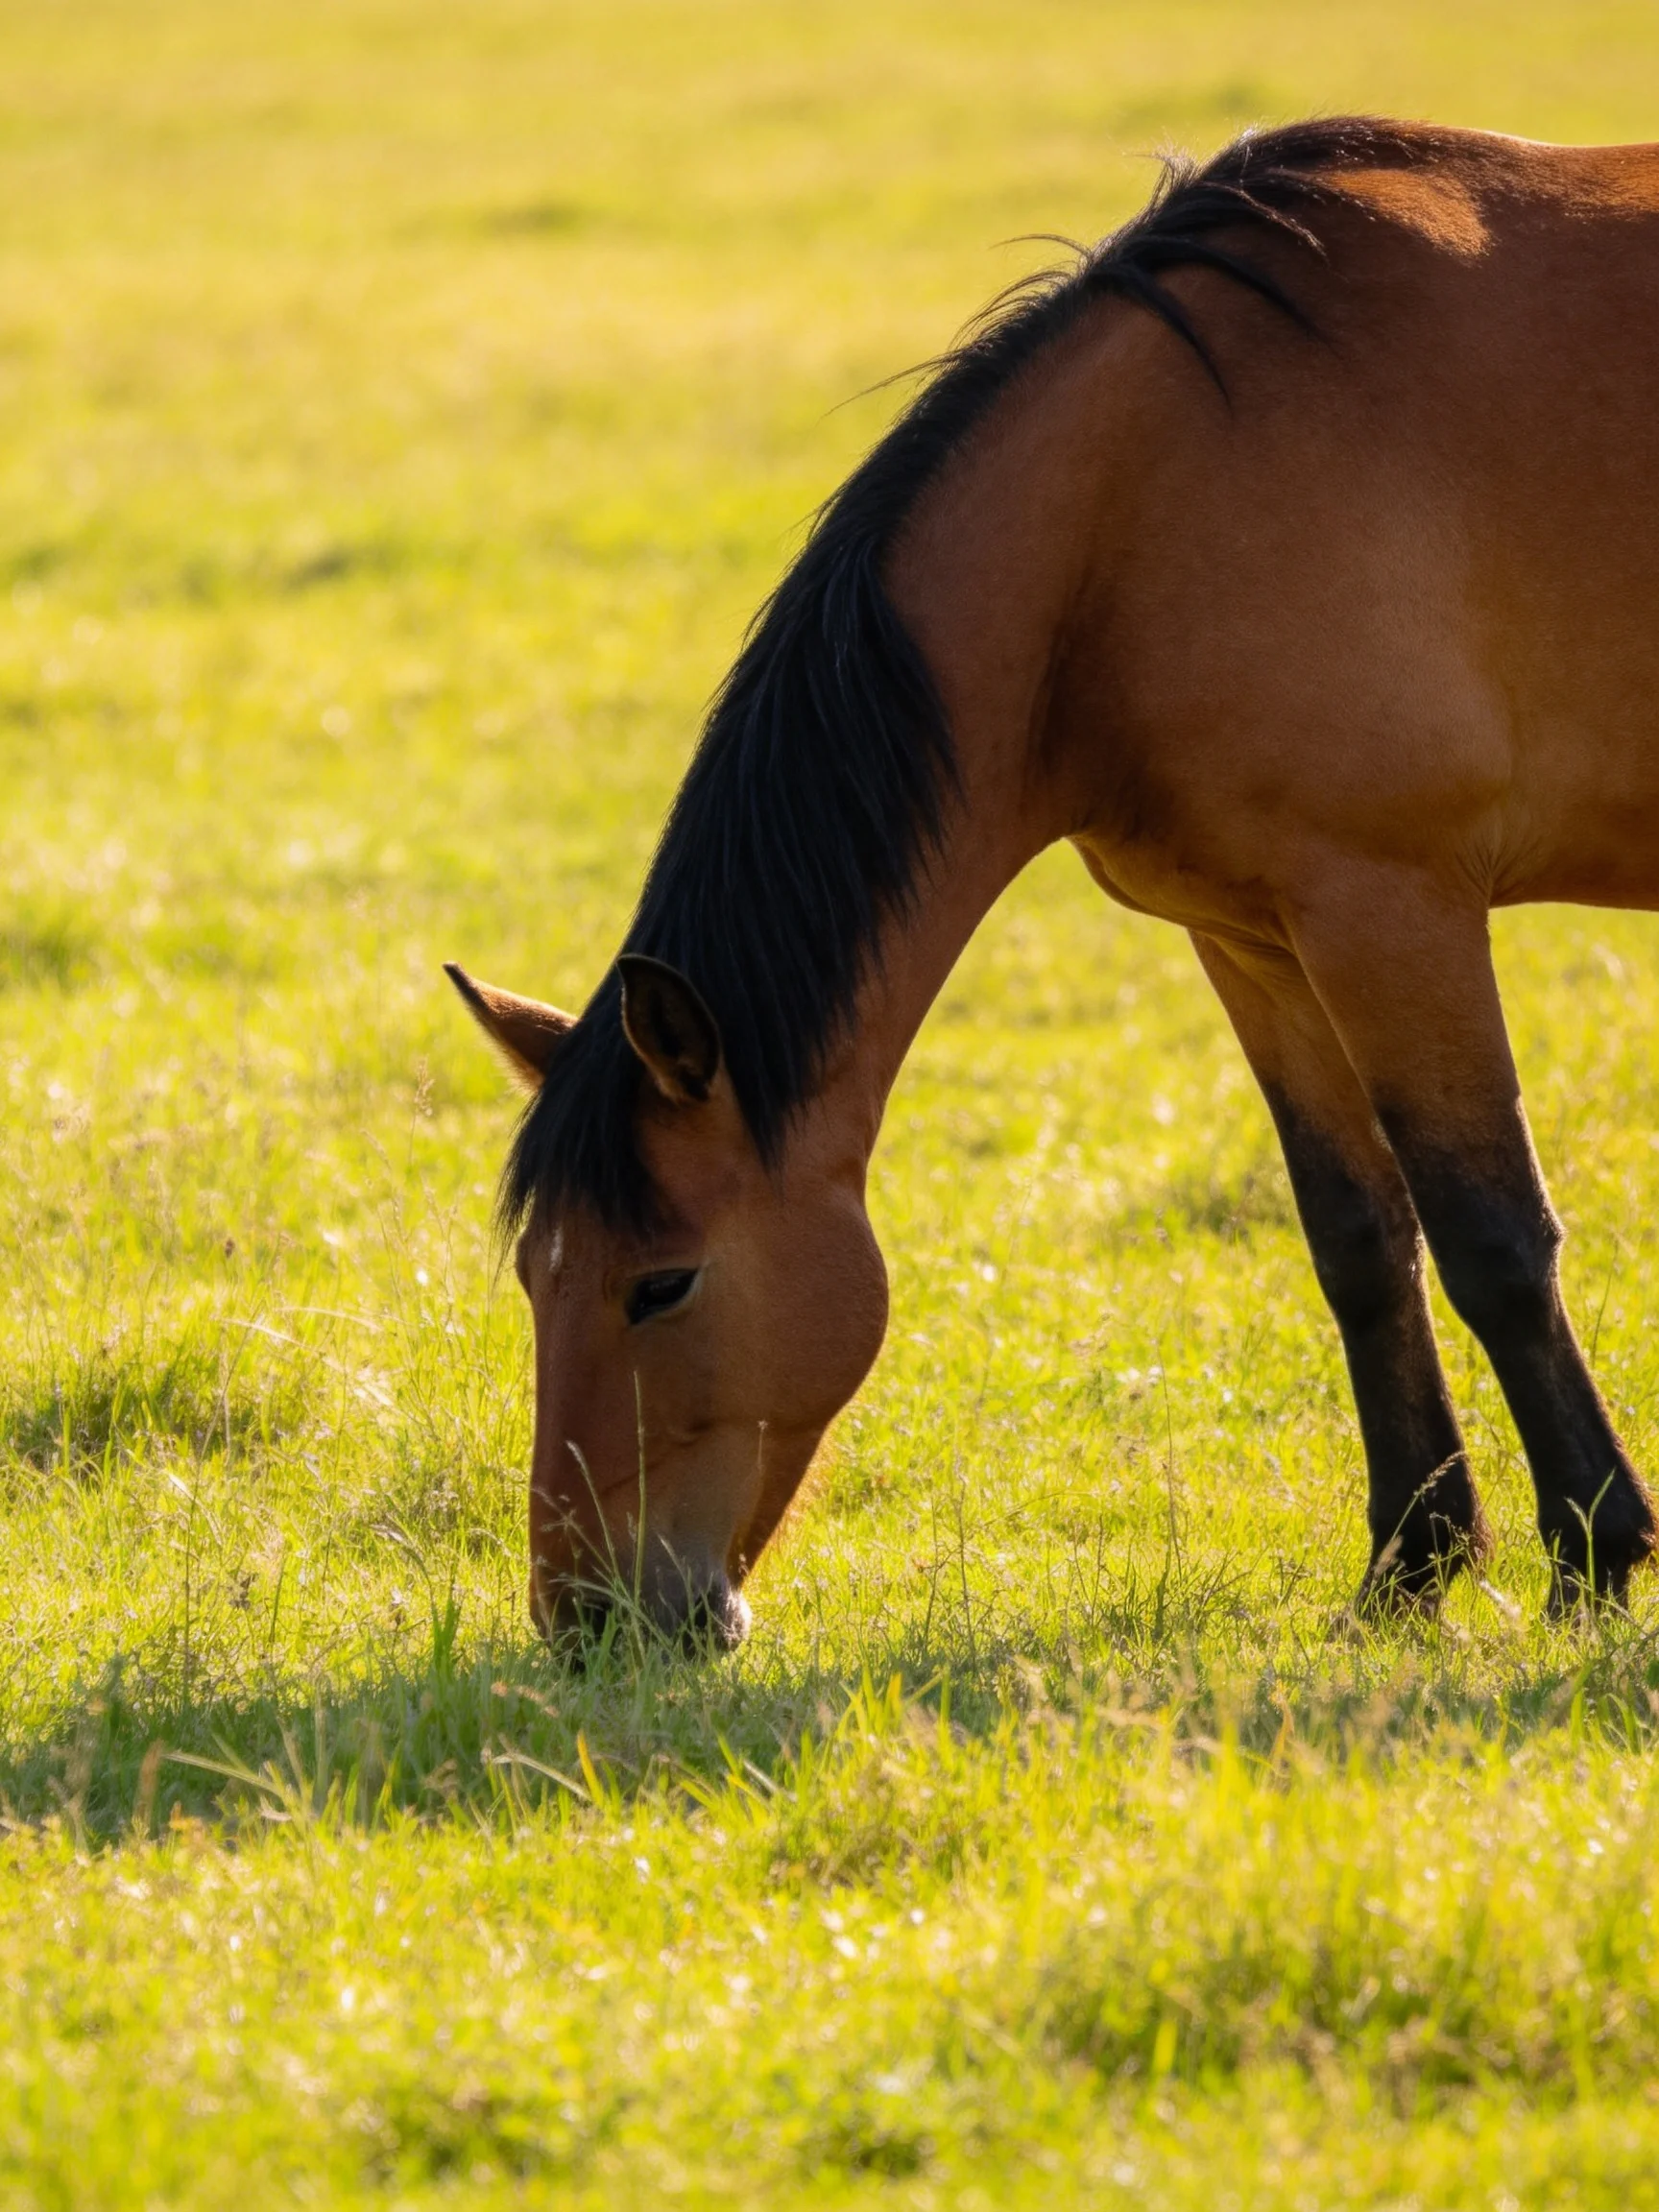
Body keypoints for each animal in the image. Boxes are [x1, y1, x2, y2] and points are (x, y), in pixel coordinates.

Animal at [450, 115, 1659, 1650]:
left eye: (659, 1285)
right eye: (538, 1277)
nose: (588, 1620)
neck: (1151, 494)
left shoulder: (1393, 909)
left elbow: (1492, 1237)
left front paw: (1595, 1554)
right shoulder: (1259, 938)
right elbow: (1359, 1242)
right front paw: (1410, 1566)